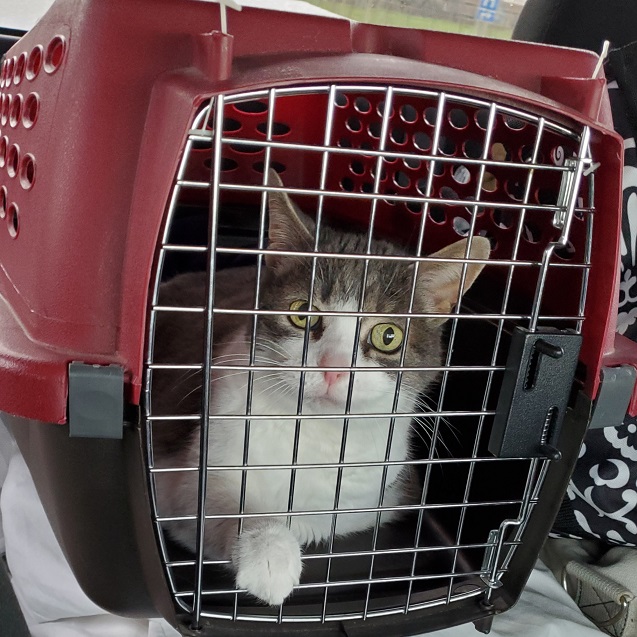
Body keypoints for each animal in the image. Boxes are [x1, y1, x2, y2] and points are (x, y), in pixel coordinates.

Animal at [152, 170, 490, 608]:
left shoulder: (381, 492)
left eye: (387, 336)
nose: (333, 369)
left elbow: (320, 518)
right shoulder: (179, 471)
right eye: (302, 314)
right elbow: (208, 504)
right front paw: (268, 551)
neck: (314, 435)